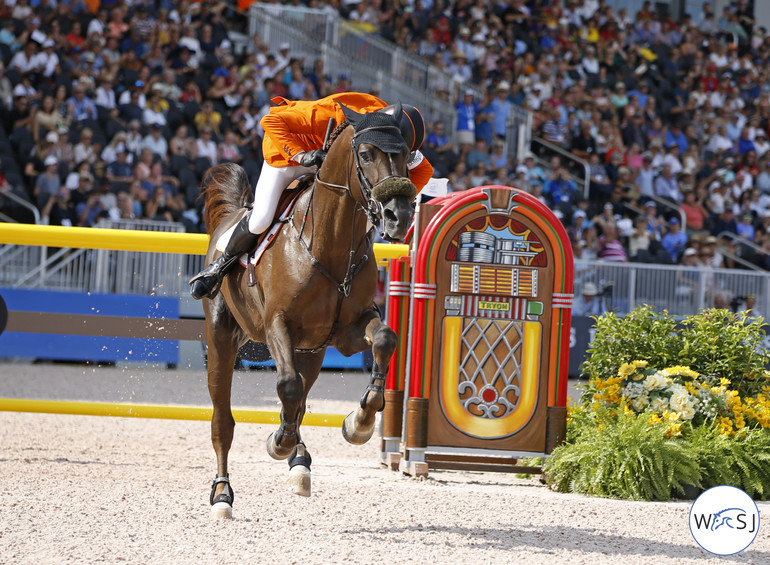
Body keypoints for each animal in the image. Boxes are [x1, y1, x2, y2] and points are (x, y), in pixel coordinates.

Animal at [196, 103, 414, 516]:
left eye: (408, 155)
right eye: (366, 155)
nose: (400, 216)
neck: (329, 242)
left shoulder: (349, 330)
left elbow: (384, 339)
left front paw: (360, 421)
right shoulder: (277, 325)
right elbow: (287, 385)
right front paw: (278, 442)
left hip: (312, 350)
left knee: (300, 397)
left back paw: (300, 463)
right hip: (221, 338)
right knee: (223, 421)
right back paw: (222, 494)